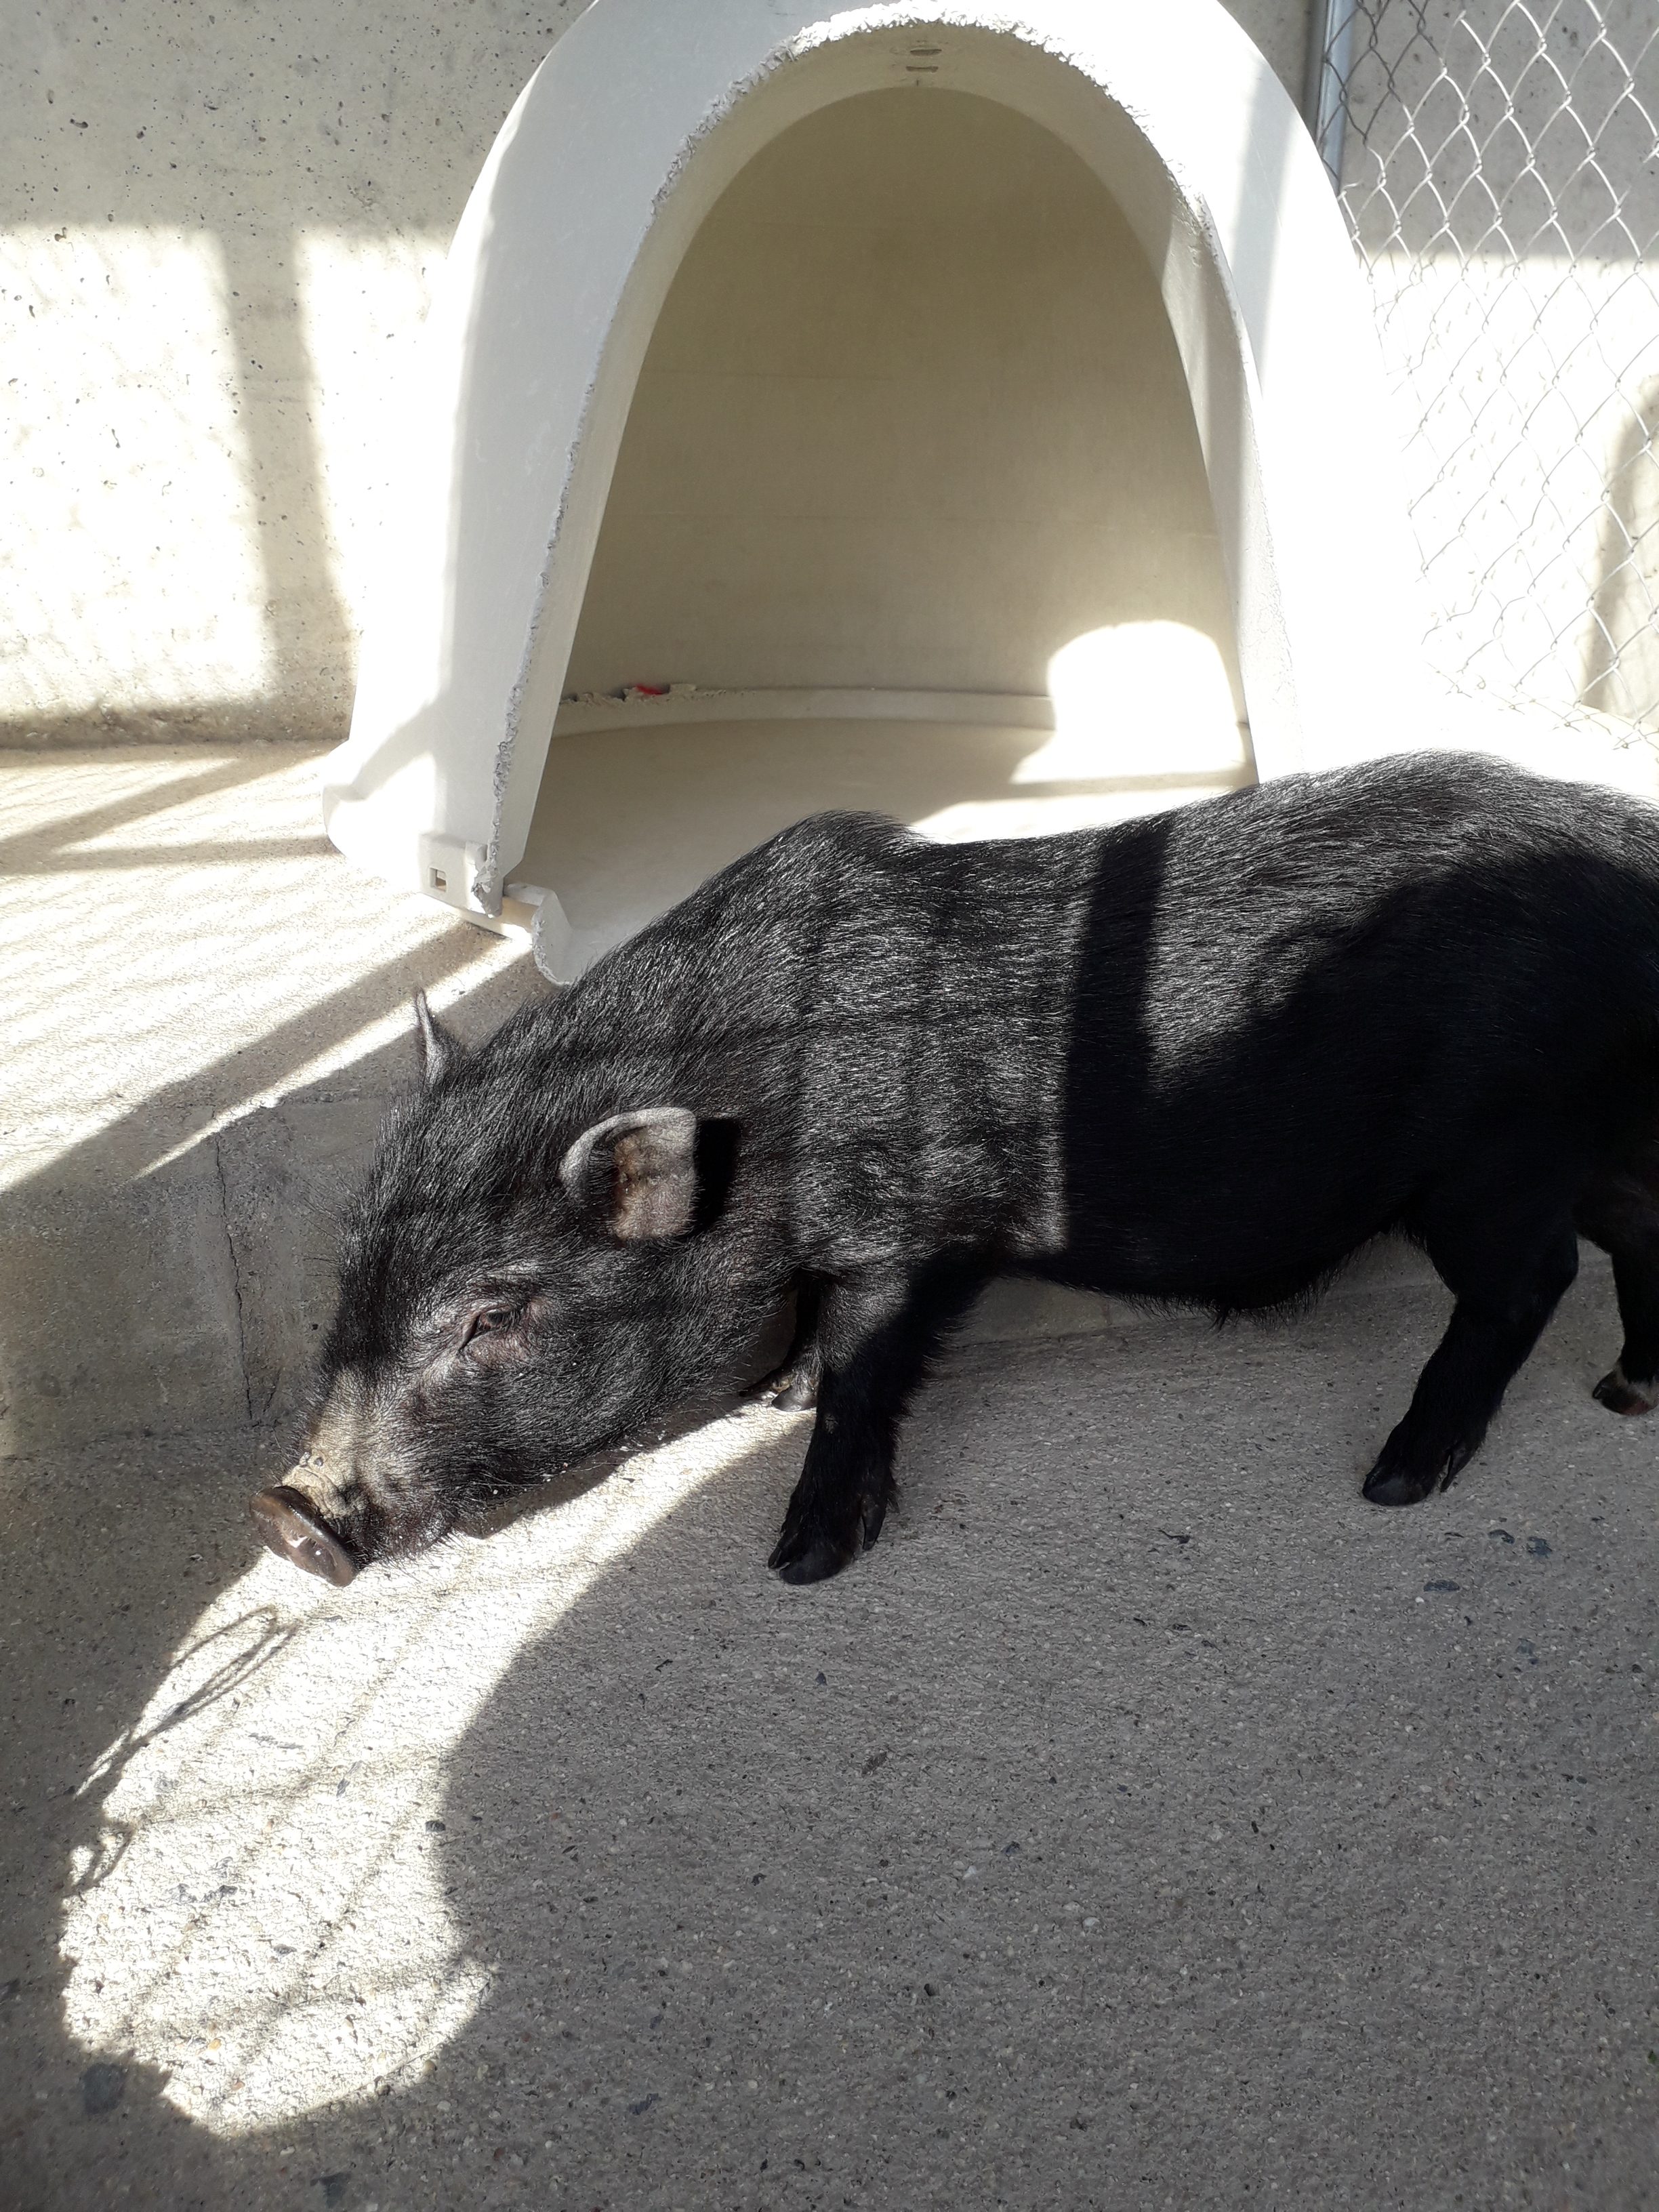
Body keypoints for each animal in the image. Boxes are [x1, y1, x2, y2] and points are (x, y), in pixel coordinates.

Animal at [252, 752, 1659, 1589]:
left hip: (1496, 1152)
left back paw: (1395, 1479)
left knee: (1530, 1279)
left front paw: (802, 1560)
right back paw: (1623, 1394)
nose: (288, 1512)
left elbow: (867, 1366)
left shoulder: (903, 1232)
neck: (757, 1109)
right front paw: (775, 1402)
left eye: (490, 1316)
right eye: (350, 1275)